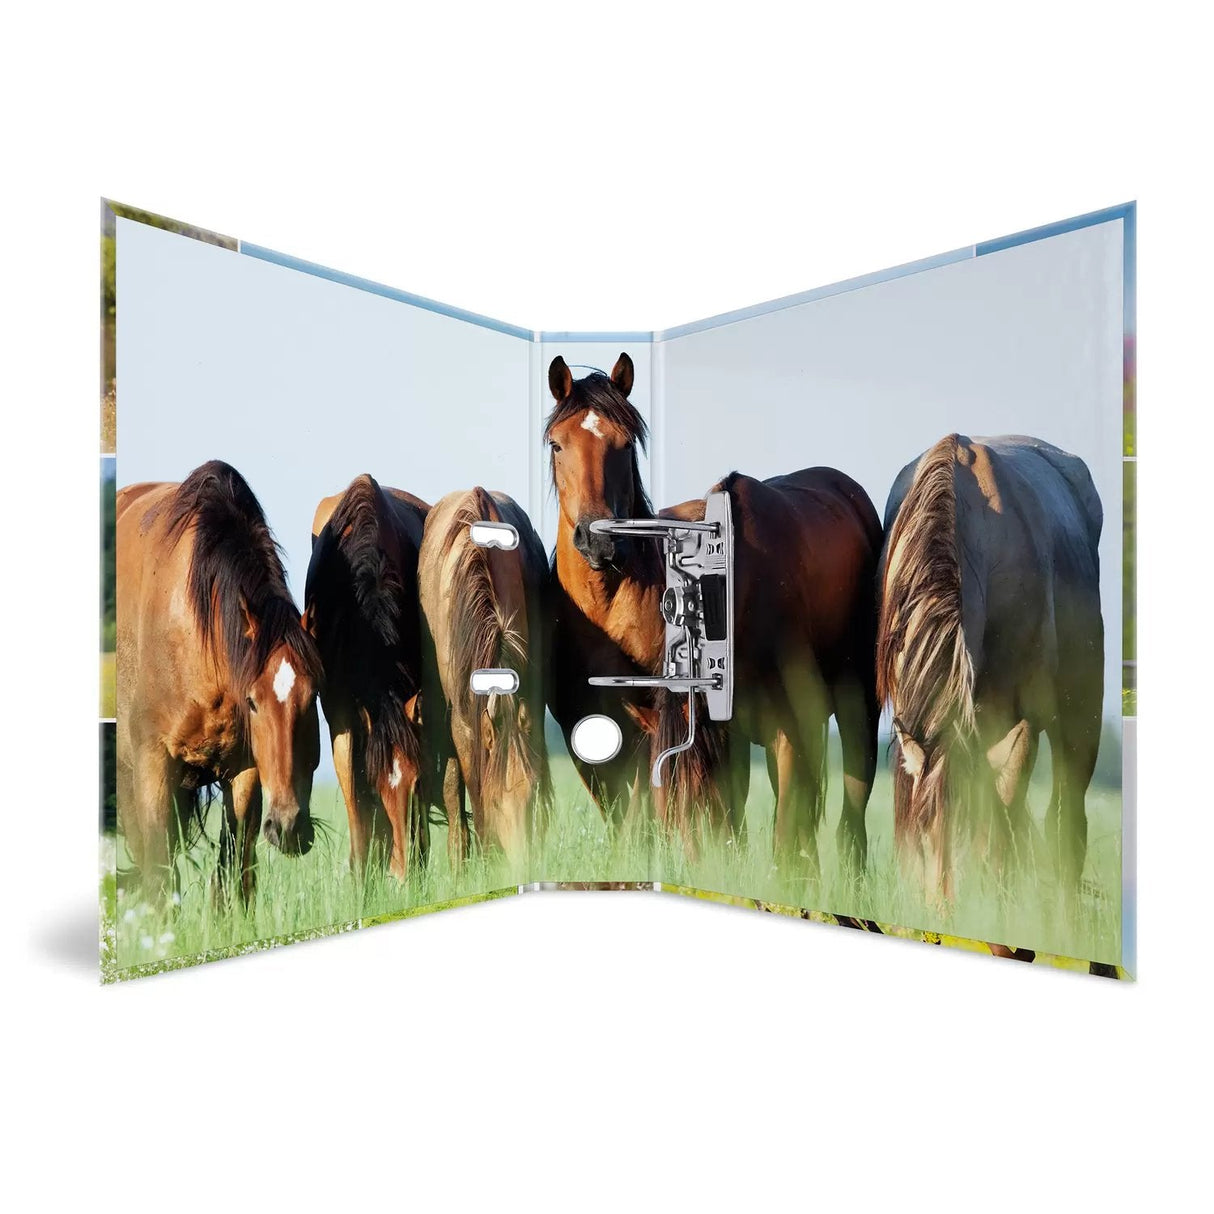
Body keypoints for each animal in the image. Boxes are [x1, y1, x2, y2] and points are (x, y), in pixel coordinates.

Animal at [115, 460, 322, 901]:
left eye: (313, 696)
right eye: (253, 701)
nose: (289, 827)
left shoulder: (244, 771)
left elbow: (233, 877)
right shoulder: (153, 764)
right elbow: (159, 877)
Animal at [546, 355, 883, 869]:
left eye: (625, 445)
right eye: (557, 443)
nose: (598, 539)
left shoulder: (787, 729)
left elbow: (783, 835)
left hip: (855, 703)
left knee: (850, 805)